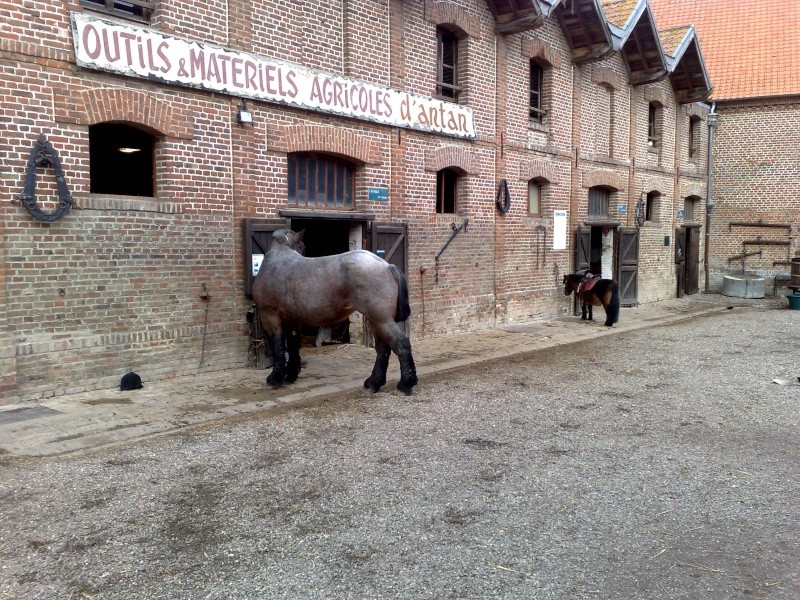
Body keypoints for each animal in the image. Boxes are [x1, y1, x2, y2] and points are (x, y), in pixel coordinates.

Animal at [253, 229, 418, 394]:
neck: (277, 262)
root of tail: (386, 265)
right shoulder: (292, 319)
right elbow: (293, 345)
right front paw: (290, 375)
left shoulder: (270, 316)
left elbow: (277, 346)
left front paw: (274, 379)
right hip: (376, 320)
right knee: (382, 349)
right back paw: (374, 382)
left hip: (381, 319)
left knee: (400, 343)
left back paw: (405, 383)